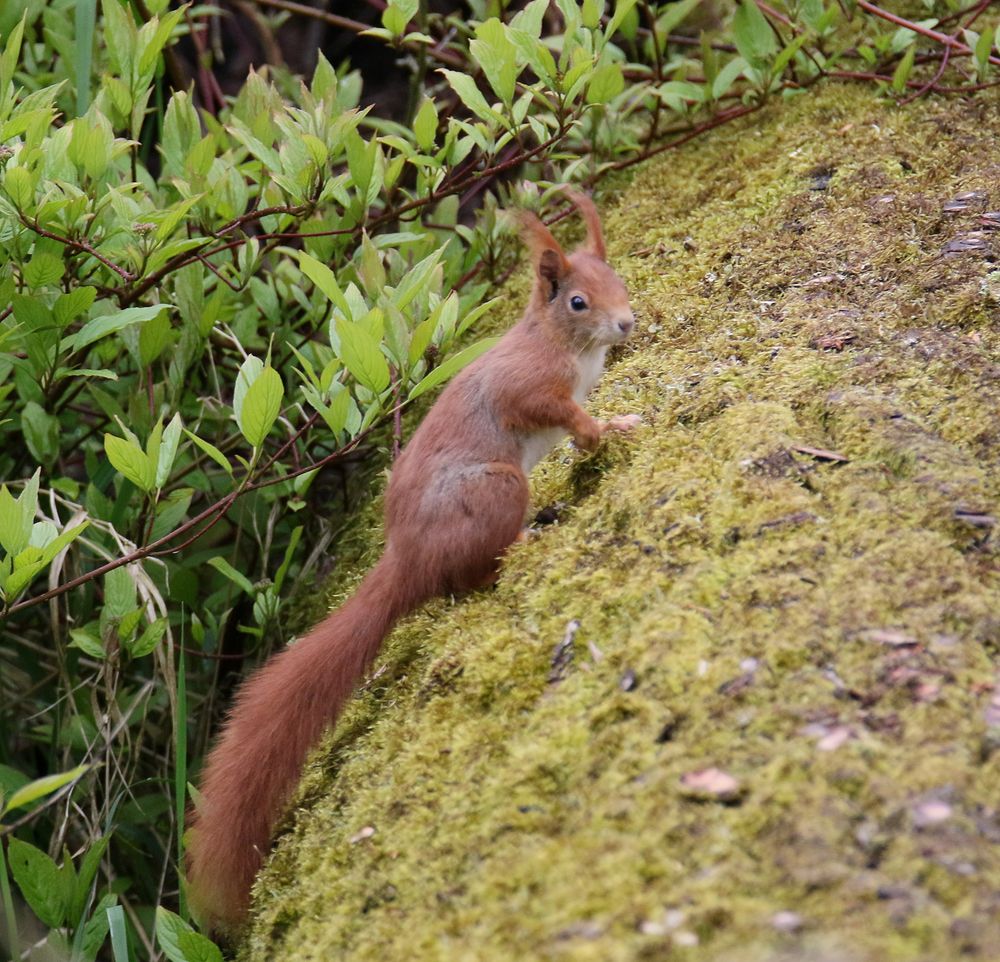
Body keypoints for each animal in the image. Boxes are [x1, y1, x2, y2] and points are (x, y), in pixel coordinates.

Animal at [187, 189, 636, 928]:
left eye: (619, 279)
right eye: (578, 301)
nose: (628, 322)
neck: (561, 345)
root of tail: (405, 562)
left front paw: (612, 426)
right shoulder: (526, 386)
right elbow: (553, 412)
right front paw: (602, 430)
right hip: (495, 489)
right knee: (472, 577)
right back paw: (527, 540)